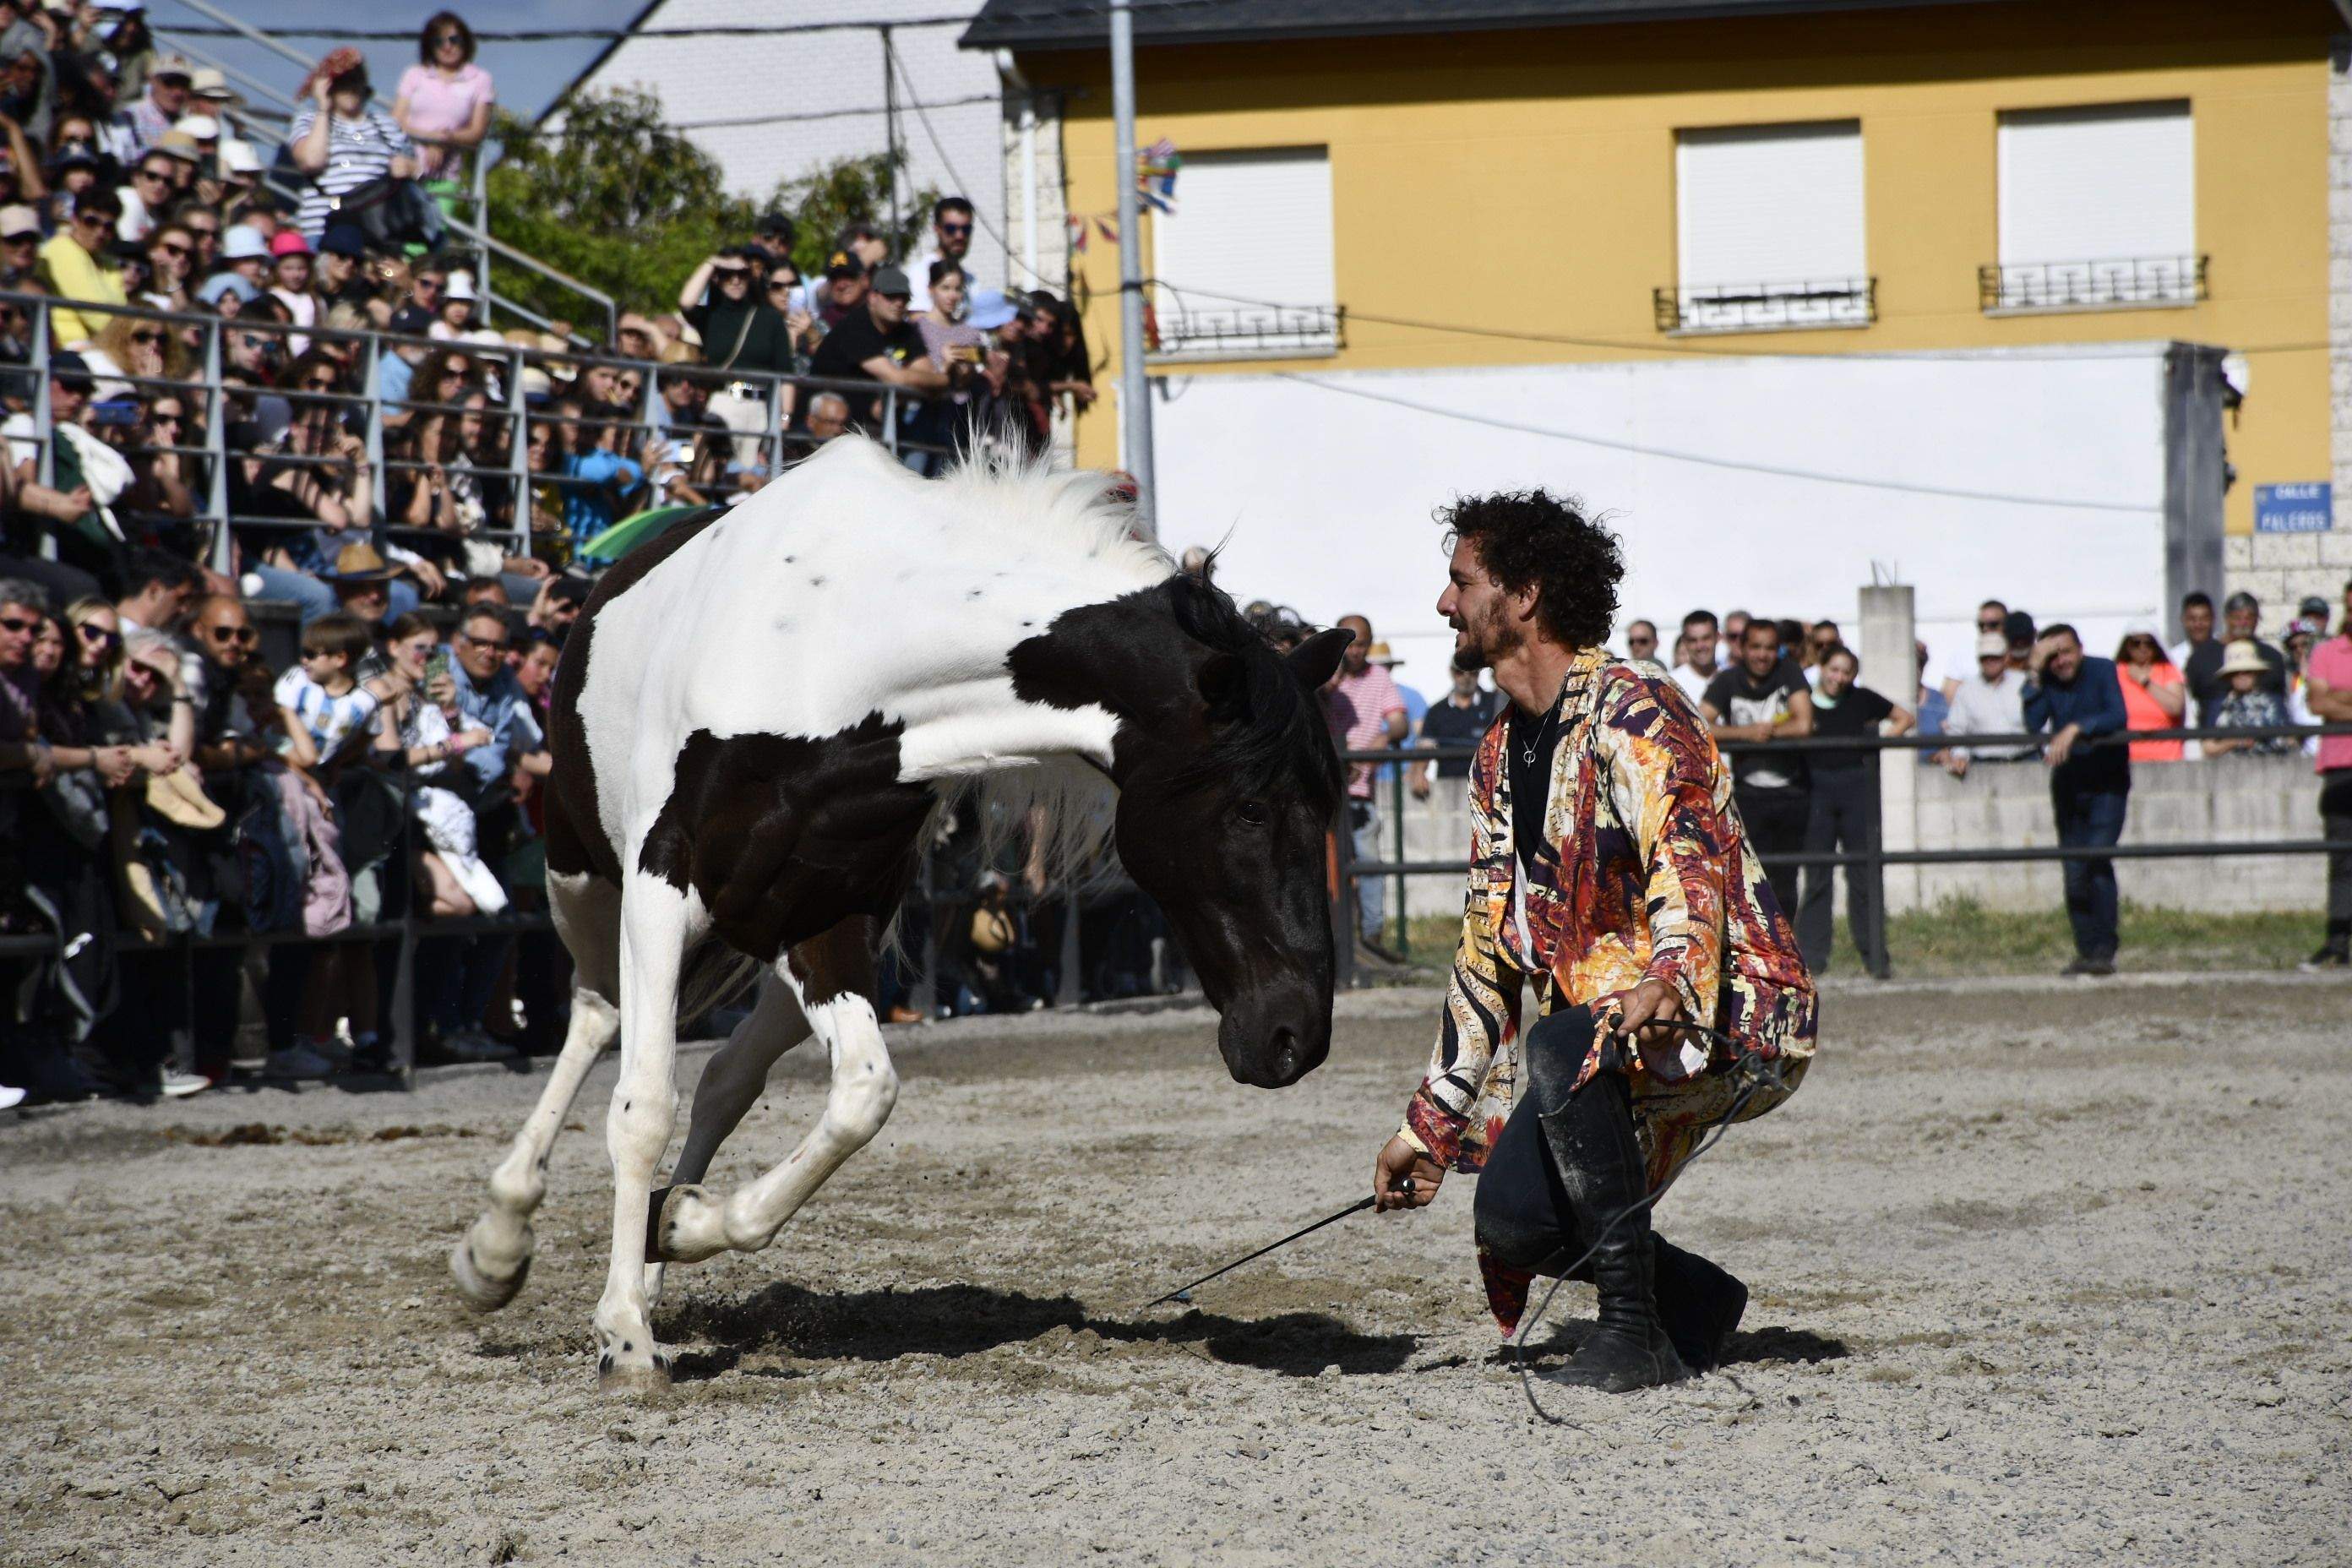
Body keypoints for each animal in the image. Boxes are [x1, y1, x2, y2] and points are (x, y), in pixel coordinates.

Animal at [449, 439, 1354, 1382]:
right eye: (1248, 808)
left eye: (1329, 801)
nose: (1294, 1034)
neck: (835, 654)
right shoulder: (660, 888)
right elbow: (641, 1104)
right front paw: (622, 1331)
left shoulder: (829, 920)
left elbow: (861, 1095)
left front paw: (687, 1221)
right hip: (586, 882)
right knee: (597, 1013)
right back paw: (500, 1245)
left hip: (769, 934)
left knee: (728, 1076)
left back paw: (655, 1243)